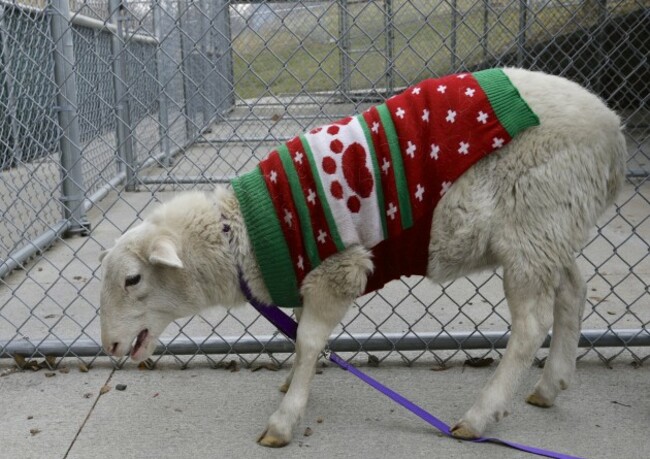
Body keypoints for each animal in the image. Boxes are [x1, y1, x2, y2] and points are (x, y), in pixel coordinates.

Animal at [96, 69, 624, 450]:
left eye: (132, 279)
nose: (111, 347)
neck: (238, 235)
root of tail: (611, 132)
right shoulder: (308, 276)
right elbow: (300, 334)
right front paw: (291, 381)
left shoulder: (336, 268)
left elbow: (308, 339)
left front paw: (284, 421)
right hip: (551, 228)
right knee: (573, 290)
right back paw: (551, 385)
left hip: (534, 222)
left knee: (530, 326)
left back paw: (478, 417)